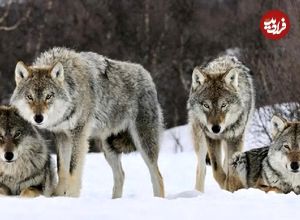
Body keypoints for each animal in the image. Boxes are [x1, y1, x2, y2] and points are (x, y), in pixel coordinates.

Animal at [9, 46, 164, 198]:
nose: (38, 118)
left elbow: (73, 169)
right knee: (121, 175)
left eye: (49, 96)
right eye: (30, 97)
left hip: (143, 143)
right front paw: (58, 196)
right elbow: (62, 169)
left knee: (157, 176)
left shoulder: (79, 135)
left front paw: (71, 196)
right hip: (108, 147)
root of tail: (146, 74)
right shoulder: (61, 135)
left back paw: (158, 199)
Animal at [188, 55, 255, 192]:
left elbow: (230, 172)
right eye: (206, 105)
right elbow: (217, 171)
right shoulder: (212, 139)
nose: (216, 128)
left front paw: (230, 186)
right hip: (200, 140)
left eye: (223, 105)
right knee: (201, 169)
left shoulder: (235, 138)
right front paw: (225, 185)